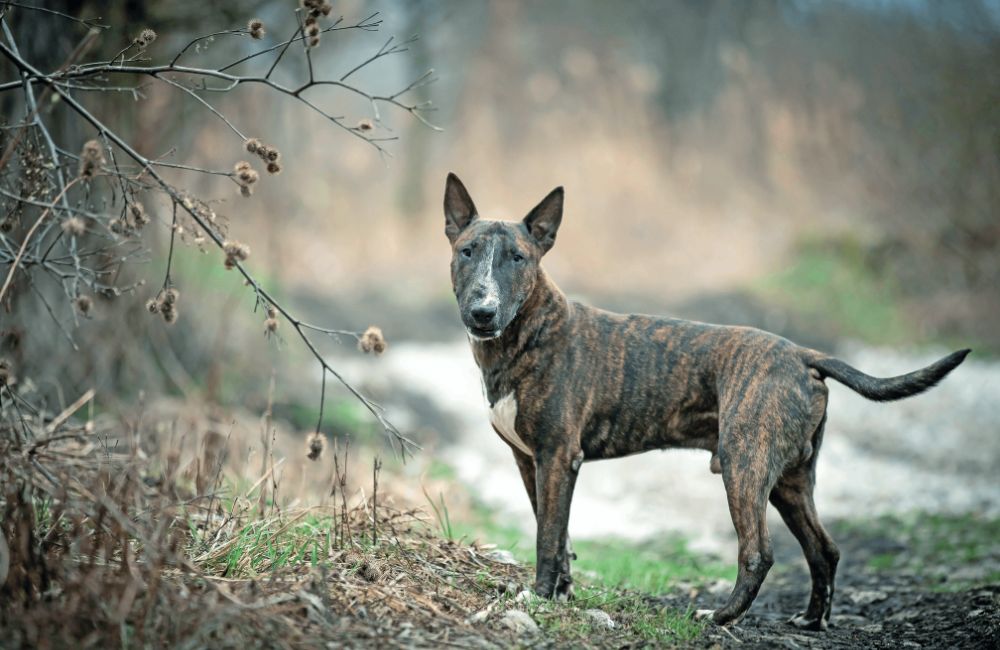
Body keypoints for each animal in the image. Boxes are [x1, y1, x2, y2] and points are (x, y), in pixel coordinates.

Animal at [444, 172, 968, 628]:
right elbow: (557, 531)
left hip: (744, 464)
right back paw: (811, 619)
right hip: (790, 480)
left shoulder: (557, 457)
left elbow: (548, 538)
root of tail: (803, 355)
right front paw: (562, 594)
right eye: (467, 251)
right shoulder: (529, 461)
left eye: (518, 258)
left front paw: (539, 596)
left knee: (758, 552)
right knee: (824, 548)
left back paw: (720, 616)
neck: (527, 334)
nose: (483, 311)